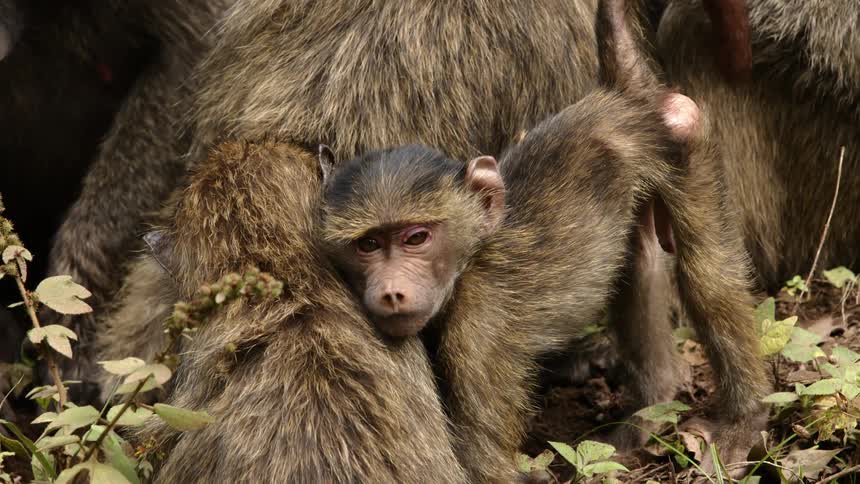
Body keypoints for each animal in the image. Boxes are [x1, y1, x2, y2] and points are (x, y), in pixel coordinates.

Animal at [317, 0, 770, 479]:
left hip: (684, 148)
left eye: (416, 238)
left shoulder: (480, 331)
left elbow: (486, 461)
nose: (391, 292)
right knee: (639, 266)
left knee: (706, 276)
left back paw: (745, 419)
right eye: (368, 245)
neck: (468, 263)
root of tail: (621, 99)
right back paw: (653, 406)